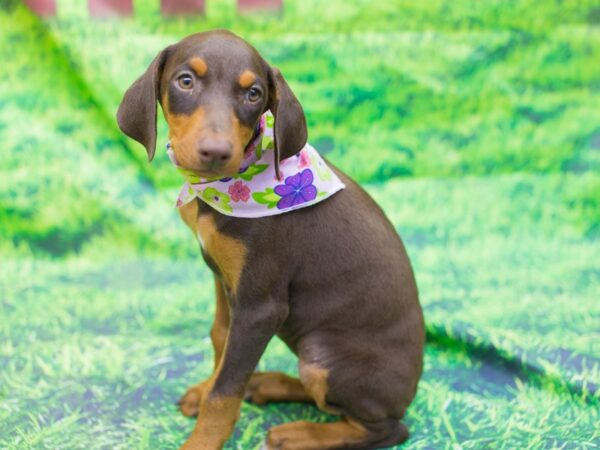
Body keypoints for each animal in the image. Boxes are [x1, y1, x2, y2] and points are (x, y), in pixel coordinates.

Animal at [117, 29, 424, 450]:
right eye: (185, 81)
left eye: (254, 94)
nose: (216, 152)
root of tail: (410, 390)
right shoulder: (224, 278)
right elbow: (221, 341)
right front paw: (204, 387)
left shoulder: (261, 306)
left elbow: (225, 392)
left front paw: (202, 438)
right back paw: (270, 385)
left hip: (322, 356)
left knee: (386, 428)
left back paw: (301, 433)